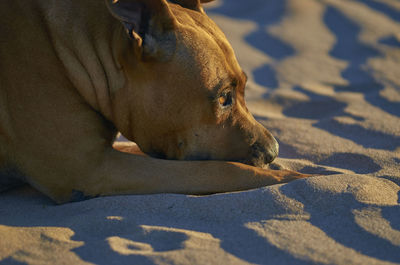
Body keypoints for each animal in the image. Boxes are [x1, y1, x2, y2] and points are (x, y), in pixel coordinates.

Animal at [0, 0, 310, 202]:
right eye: (224, 98)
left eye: (245, 87)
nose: (274, 151)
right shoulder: (91, 168)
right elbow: (221, 169)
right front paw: (291, 178)